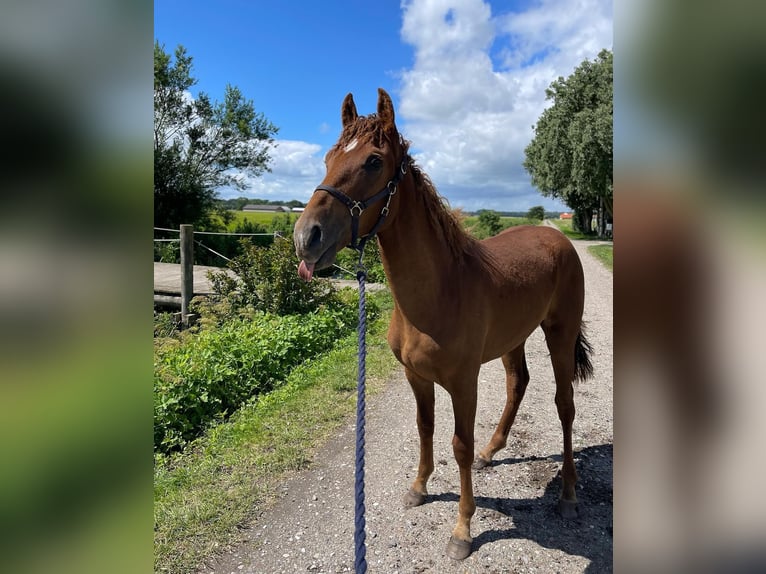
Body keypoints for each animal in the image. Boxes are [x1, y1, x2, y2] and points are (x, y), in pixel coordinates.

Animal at [294, 90, 592, 564]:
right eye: (326, 158)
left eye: (373, 161)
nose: (306, 238)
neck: (439, 291)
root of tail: (558, 238)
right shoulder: (416, 376)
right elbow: (425, 428)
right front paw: (418, 488)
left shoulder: (463, 382)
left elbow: (459, 445)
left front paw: (462, 530)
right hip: (514, 339)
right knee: (518, 383)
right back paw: (493, 450)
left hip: (559, 335)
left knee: (565, 406)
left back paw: (567, 495)